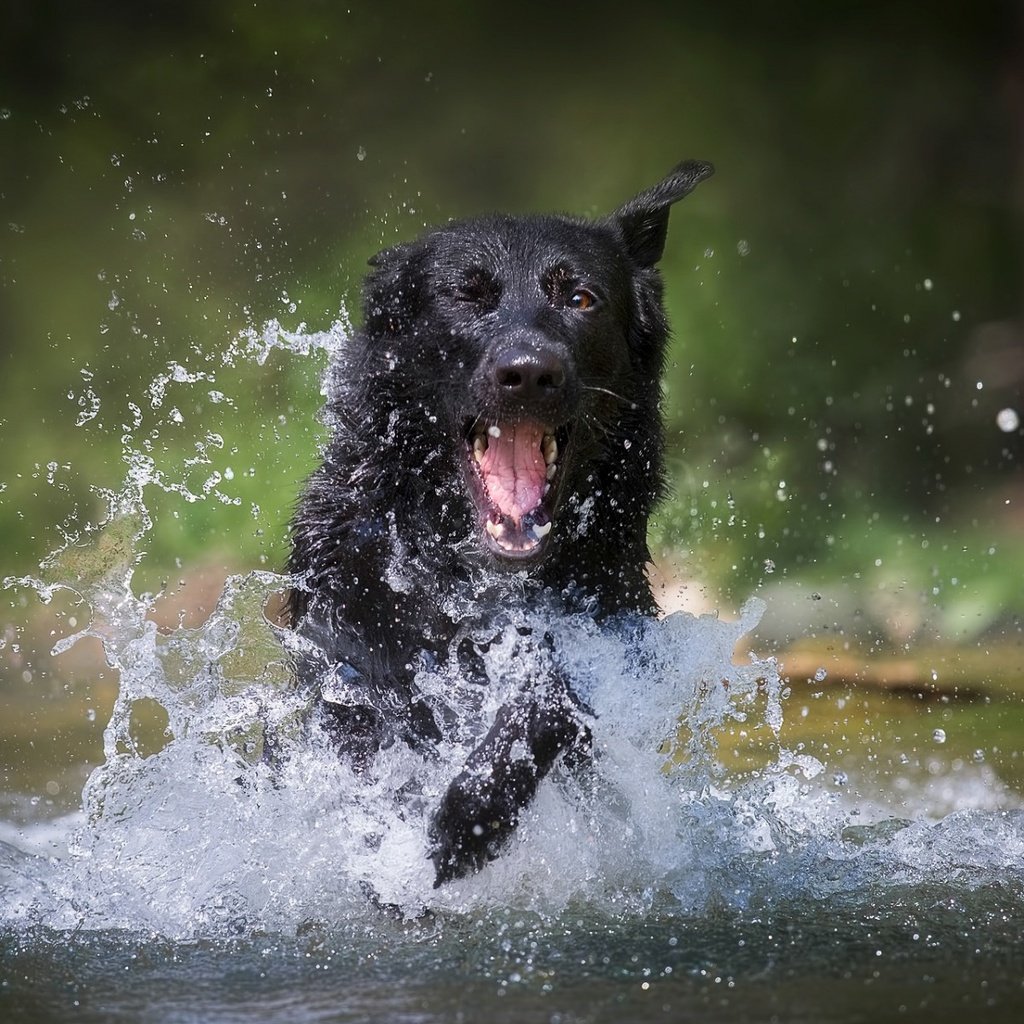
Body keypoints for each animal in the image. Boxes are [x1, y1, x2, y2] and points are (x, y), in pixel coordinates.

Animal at [288, 155, 712, 884]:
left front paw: (472, 815)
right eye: (468, 296)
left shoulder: (602, 640)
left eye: (581, 299)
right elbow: (368, 716)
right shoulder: (344, 630)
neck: (471, 577)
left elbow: (546, 695)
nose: (529, 373)